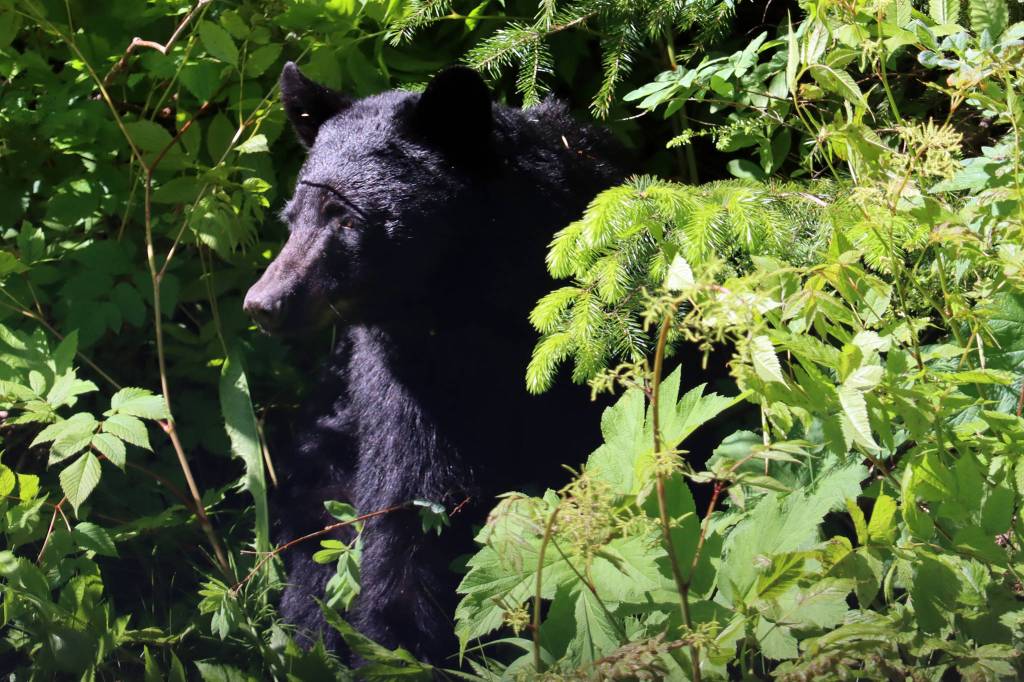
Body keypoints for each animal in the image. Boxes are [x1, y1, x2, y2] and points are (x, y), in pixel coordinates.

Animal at [243, 62, 624, 666]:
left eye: (344, 217)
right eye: (291, 217)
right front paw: (398, 645)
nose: (264, 302)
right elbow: (410, 509)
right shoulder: (404, 380)